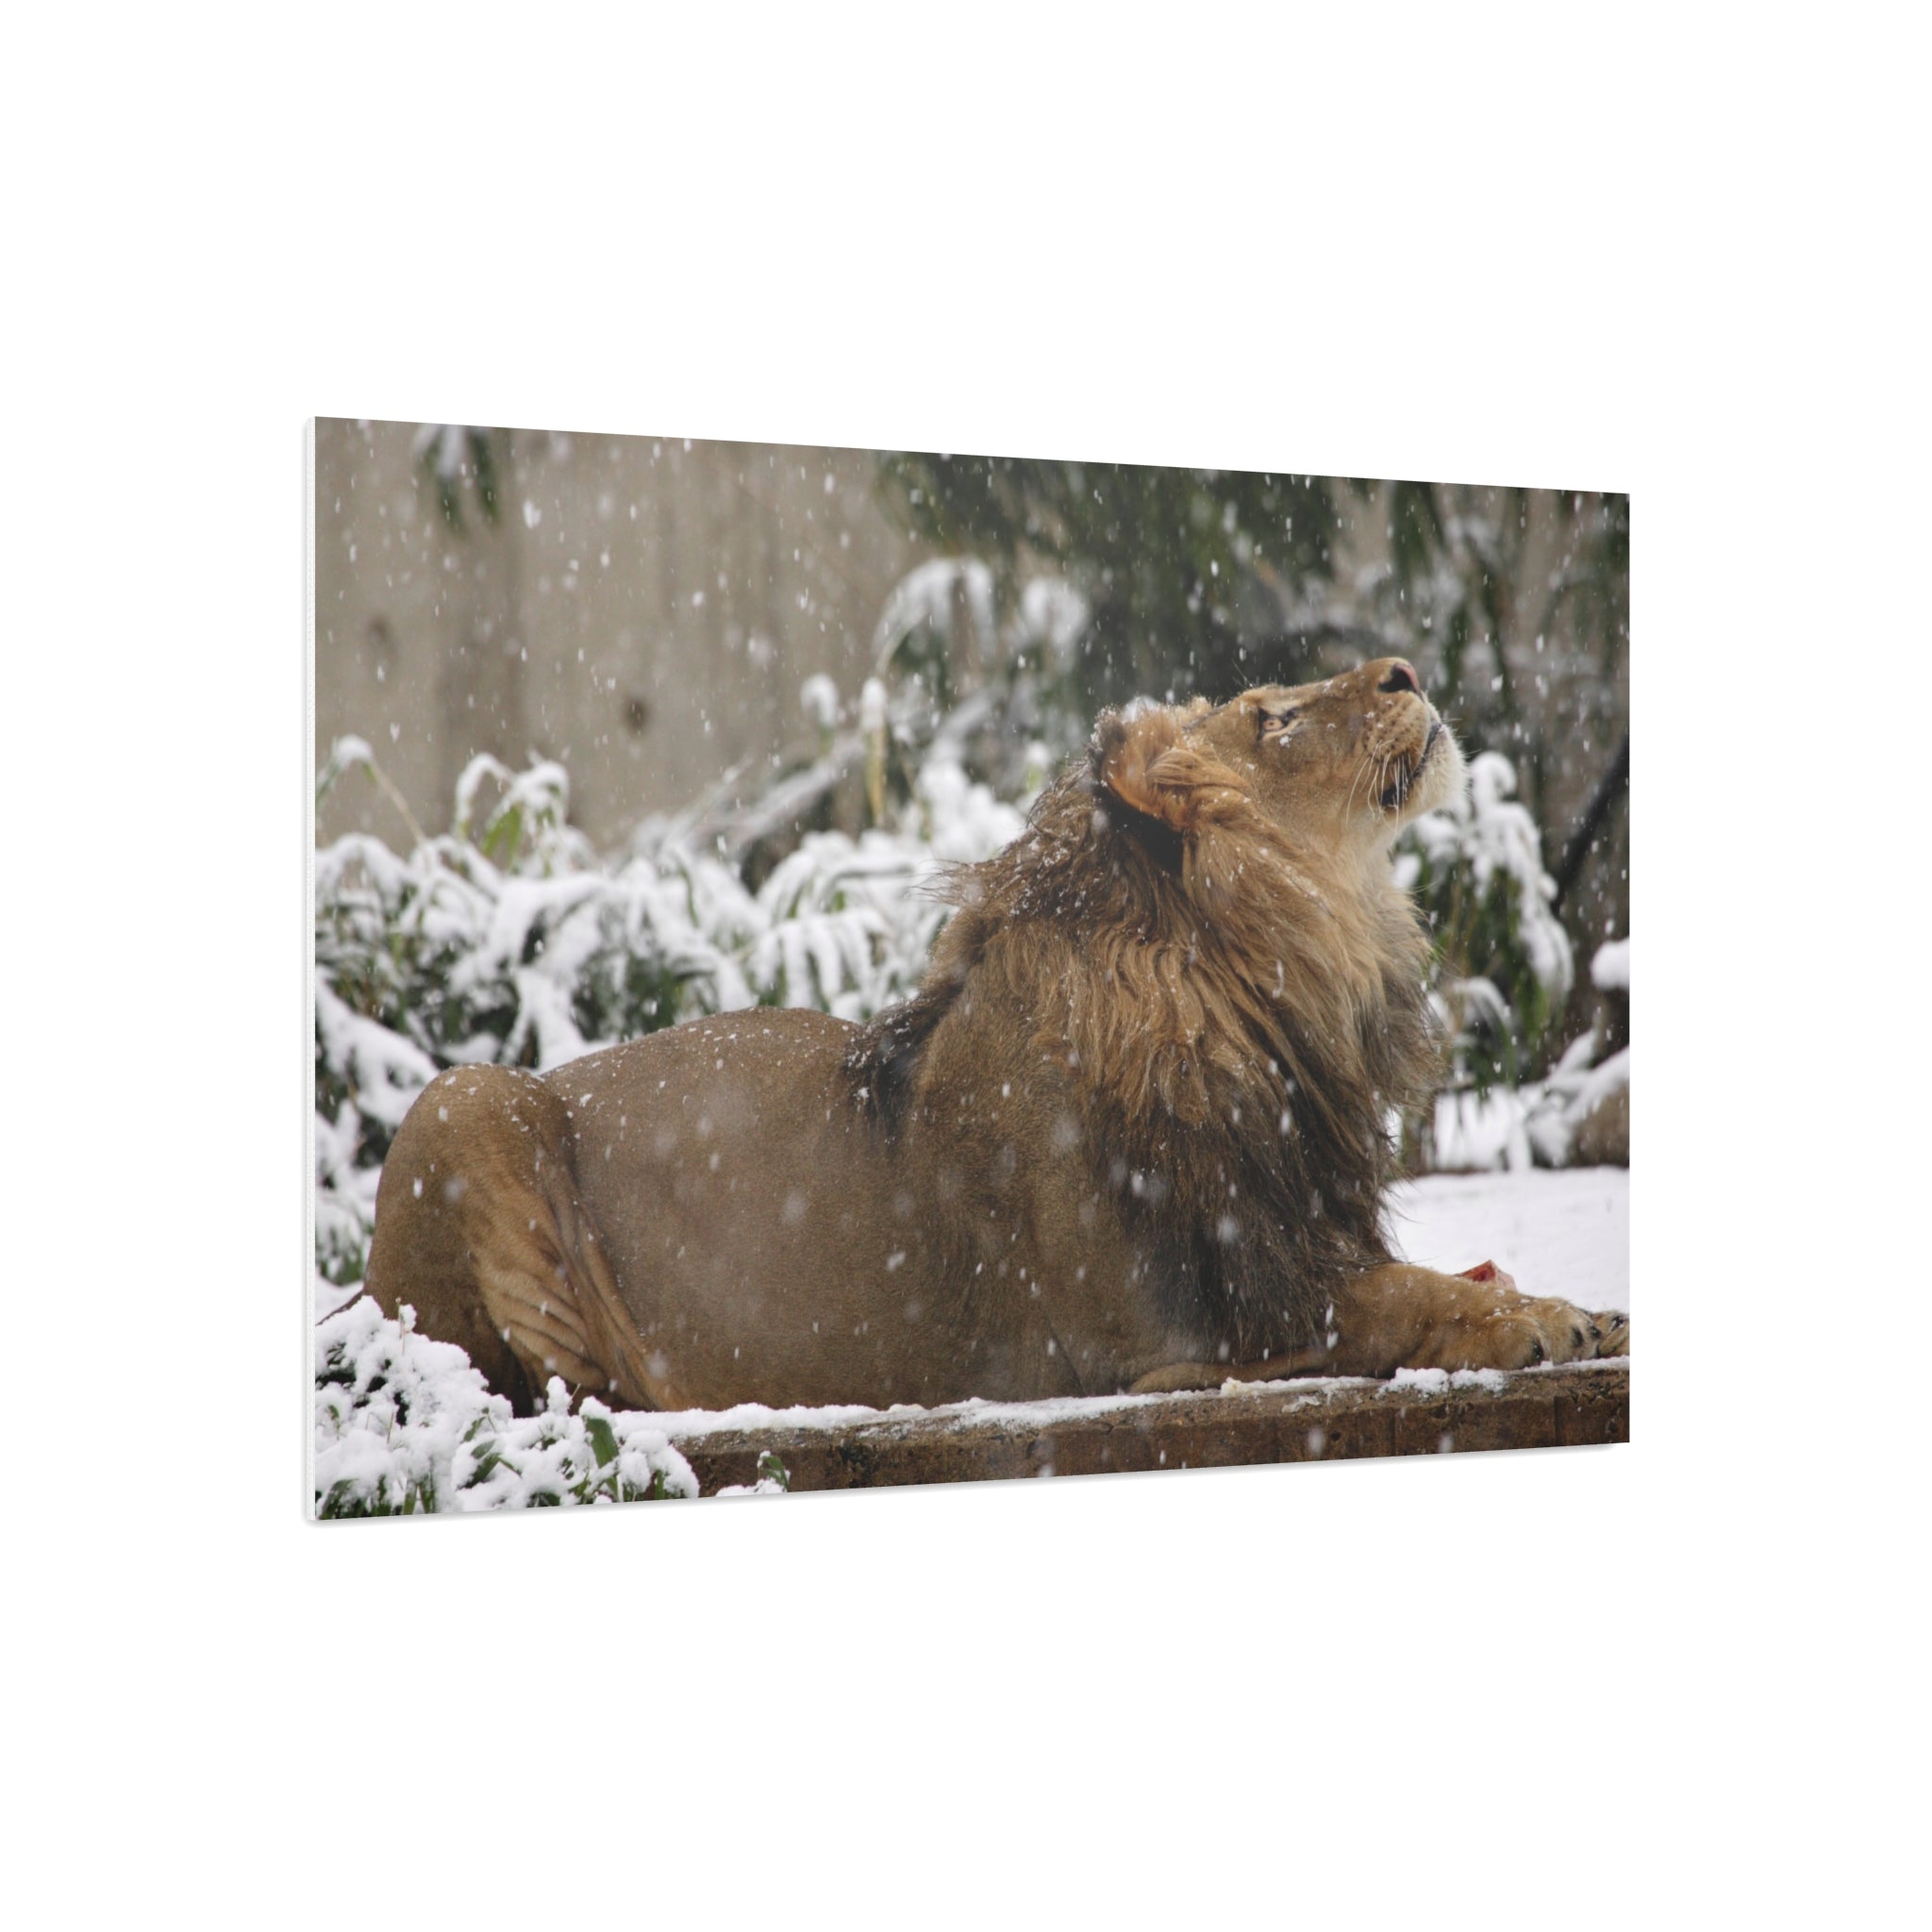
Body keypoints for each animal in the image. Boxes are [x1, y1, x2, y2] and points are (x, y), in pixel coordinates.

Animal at [364, 657, 1628, 1416]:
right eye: (1270, 716)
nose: (1404, 669)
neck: (1265, 988)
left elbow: (1434, 1277)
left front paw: (1572, 1304)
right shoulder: (1154, 1345)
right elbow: (1402, 1303)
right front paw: (1542, 1321)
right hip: (466, 1099)